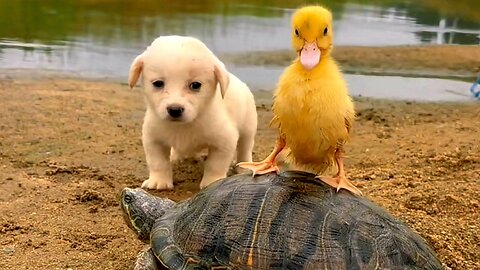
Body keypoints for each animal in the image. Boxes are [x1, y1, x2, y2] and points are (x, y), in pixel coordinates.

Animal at [126, 35, 255, 190]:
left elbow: (215, 165)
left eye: (196, 85)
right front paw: (159, 181)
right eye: (158, 83)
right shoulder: (153, 140)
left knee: (244, 149)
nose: (175, 109)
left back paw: (244, 166)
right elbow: (158, 163)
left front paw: (212, 182)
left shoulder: (224, 142)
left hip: (248, 129)